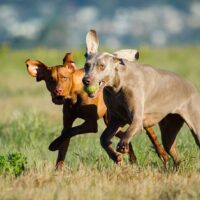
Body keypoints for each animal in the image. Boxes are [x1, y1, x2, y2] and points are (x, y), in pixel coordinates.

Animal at [26, 52, 167, 168]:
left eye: (65, 78)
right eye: (50, 80)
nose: (57, 92)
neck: (75, 95)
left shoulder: (91, 124)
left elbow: (70, 131)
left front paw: (53, 144)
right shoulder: (68, 122)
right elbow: (64, 142)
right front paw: (58, 169)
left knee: (151, 134)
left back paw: (162, 154)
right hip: (112, 120)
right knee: (122, 135)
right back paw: (126, 158)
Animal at [82, 29, 199, 166]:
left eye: (102, 66)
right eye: (86, 65)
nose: (86, 80)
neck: (117, 86)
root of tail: (191, 86)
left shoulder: (137, 119)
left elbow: (130, 130)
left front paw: (123, 146)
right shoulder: (117, 120)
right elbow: (103, 138)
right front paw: (115, 156)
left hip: (195, 125)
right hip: (169, 129)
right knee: (173, 152)